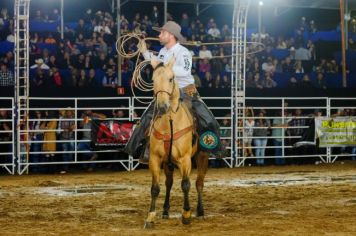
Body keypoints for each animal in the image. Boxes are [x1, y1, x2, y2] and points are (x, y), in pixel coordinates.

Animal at [144, 59, 210, 229]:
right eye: (153, 80)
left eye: (171, 78)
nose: (162, 107)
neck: (170, 123)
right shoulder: (155, 159)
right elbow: (155, 188)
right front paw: (150, 217)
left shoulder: (185, 159)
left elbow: (185, 184)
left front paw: (186, 214)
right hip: (168, 163)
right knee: (169, 183)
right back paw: (165, 211)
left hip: (202, 156)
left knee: (199, 183)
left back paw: (200, 211)